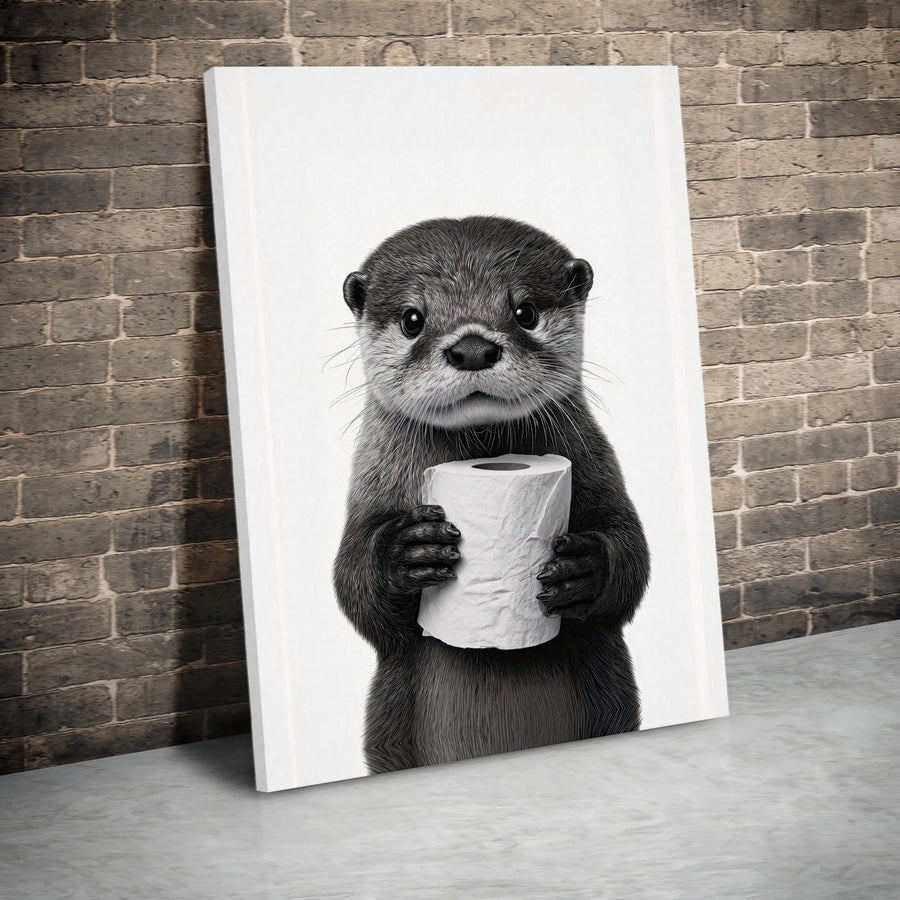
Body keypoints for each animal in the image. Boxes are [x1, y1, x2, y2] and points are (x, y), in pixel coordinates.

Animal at [333, 216, 650, 774]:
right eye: (413, 319)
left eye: (525, 312)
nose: (473, 349)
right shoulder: (370, 492)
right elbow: (355, 587)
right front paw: (407, 551)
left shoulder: (600, 472)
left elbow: (630, 556)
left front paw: (584, 568)